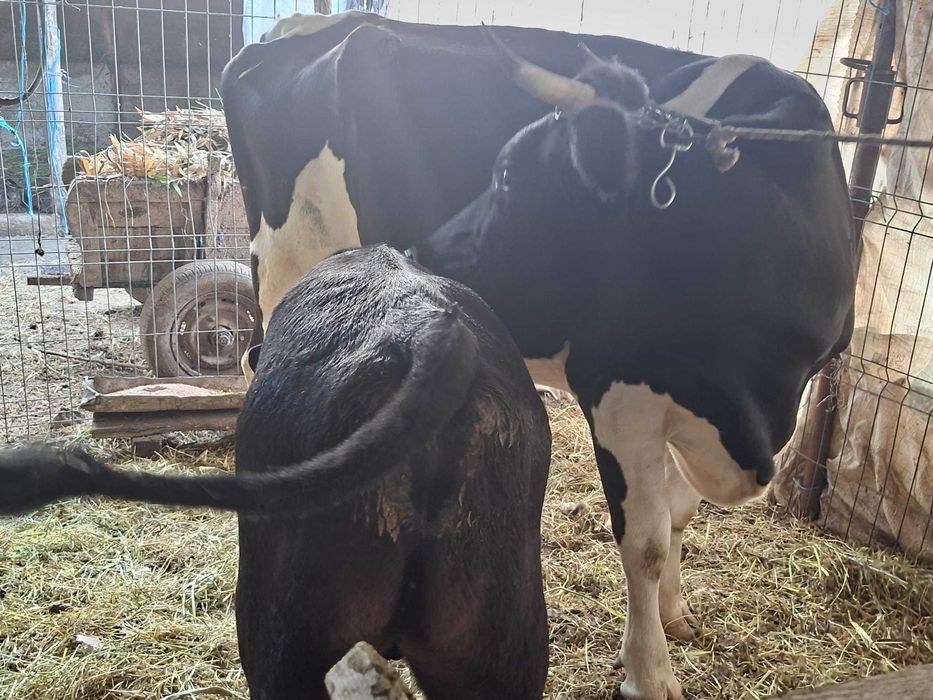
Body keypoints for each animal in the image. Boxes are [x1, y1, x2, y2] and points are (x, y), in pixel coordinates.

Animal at [416, 41, 858, 700]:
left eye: (508, 175)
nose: (422, 251)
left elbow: (678, 517)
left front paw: (674, 616)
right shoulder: (622, 403)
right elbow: (645, 542)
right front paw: (649, 673)